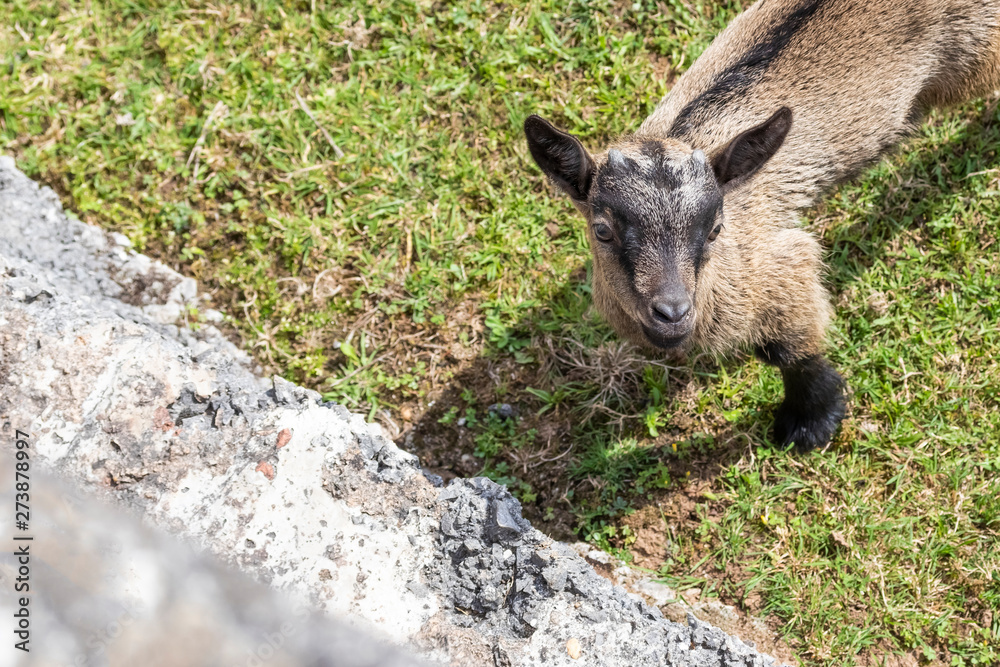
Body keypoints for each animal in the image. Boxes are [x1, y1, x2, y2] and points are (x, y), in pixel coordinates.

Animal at [524, 0, 1000, 451]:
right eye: (602, 230)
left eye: (715, 228)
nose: (672, 313)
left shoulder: (778, 262)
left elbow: (787, 349)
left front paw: (811, 422)